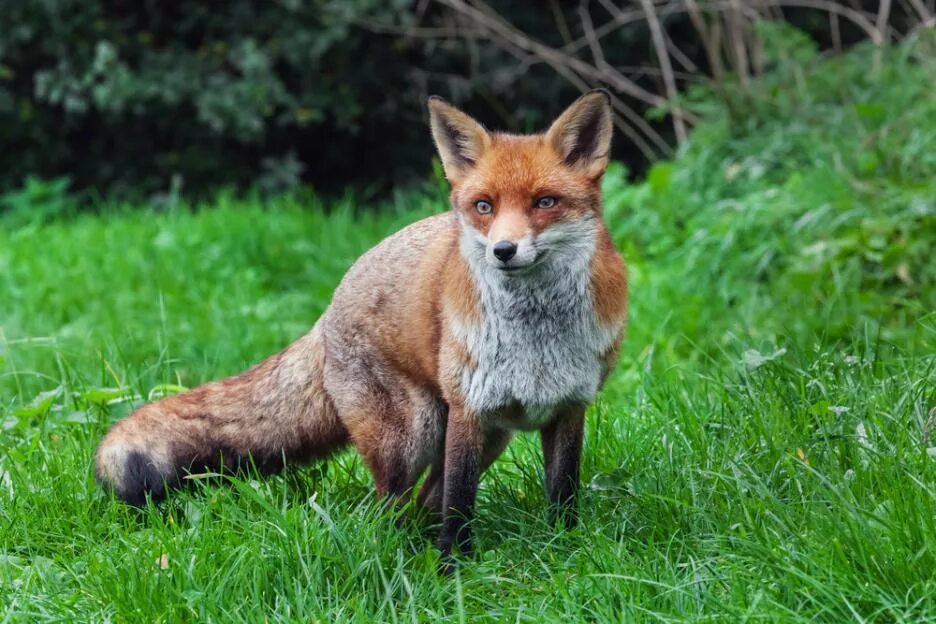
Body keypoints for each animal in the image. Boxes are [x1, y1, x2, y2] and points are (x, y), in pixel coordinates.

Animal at [95, 90, 628, 564]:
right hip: (413, 434)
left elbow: (562, 494)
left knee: (424, 500)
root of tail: (329, 308)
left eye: (544, 202)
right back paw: (399, 556)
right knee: (392, 508)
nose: (503, 250)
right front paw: (453, 570)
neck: (536, 338)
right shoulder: (469, 410)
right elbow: (459, 506)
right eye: (484, 206)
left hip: (487, 436)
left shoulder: (569, 406)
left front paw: (565, 552)